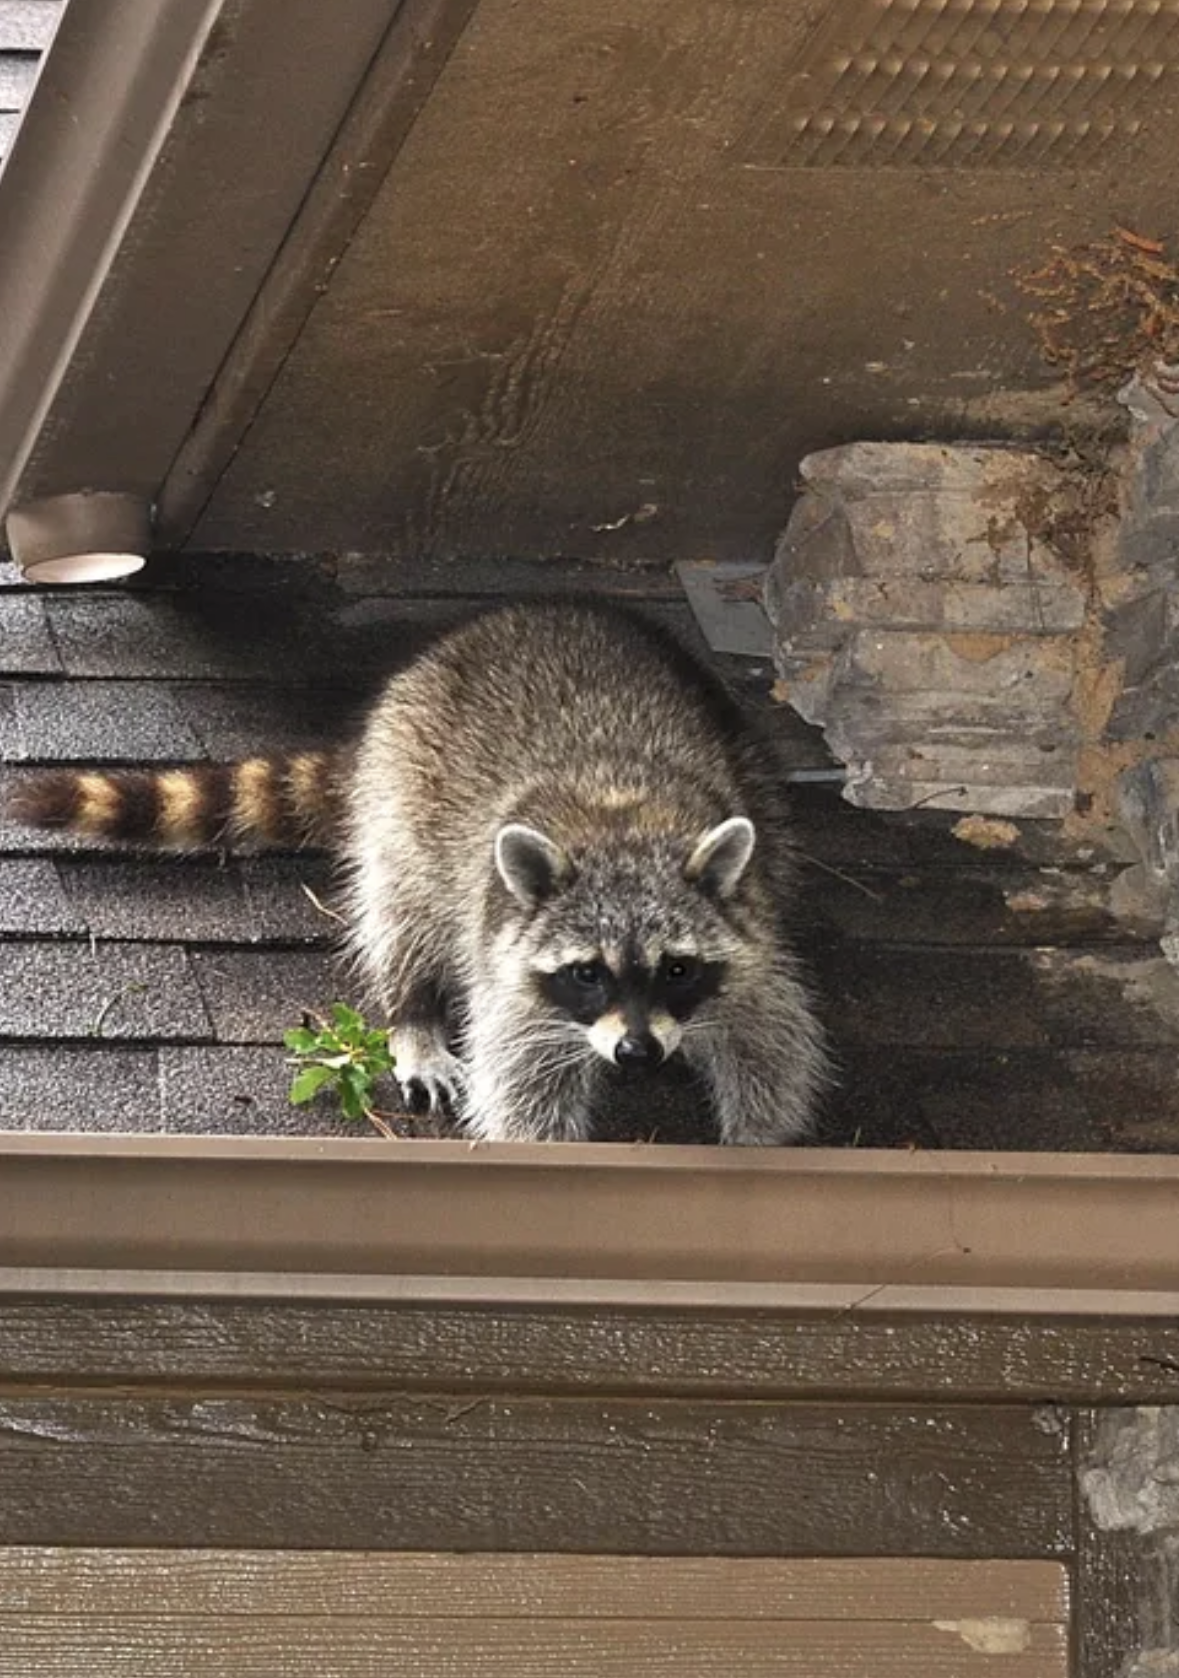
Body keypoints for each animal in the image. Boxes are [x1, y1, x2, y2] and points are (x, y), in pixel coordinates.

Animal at [10, 603, 826, 1143]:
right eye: (586, 972)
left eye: (677, 969)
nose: (638, 1053)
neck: (624, 824)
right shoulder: (507, 957)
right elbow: (522, 1080)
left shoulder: (750, 933)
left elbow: (769, 1037)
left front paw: (757, 1142)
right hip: (404, 803)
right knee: (400, 916)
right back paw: (414, 1015)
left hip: (752, 777)